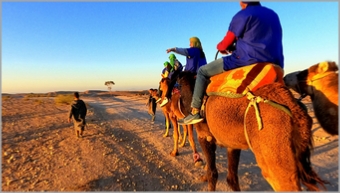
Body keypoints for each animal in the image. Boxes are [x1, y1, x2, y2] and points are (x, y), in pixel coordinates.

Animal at [178, 71, 326, 191]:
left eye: (178, 84)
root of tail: (294, 109)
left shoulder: (205, 137)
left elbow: (212, 174)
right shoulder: (232, 143)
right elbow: (232, 178)